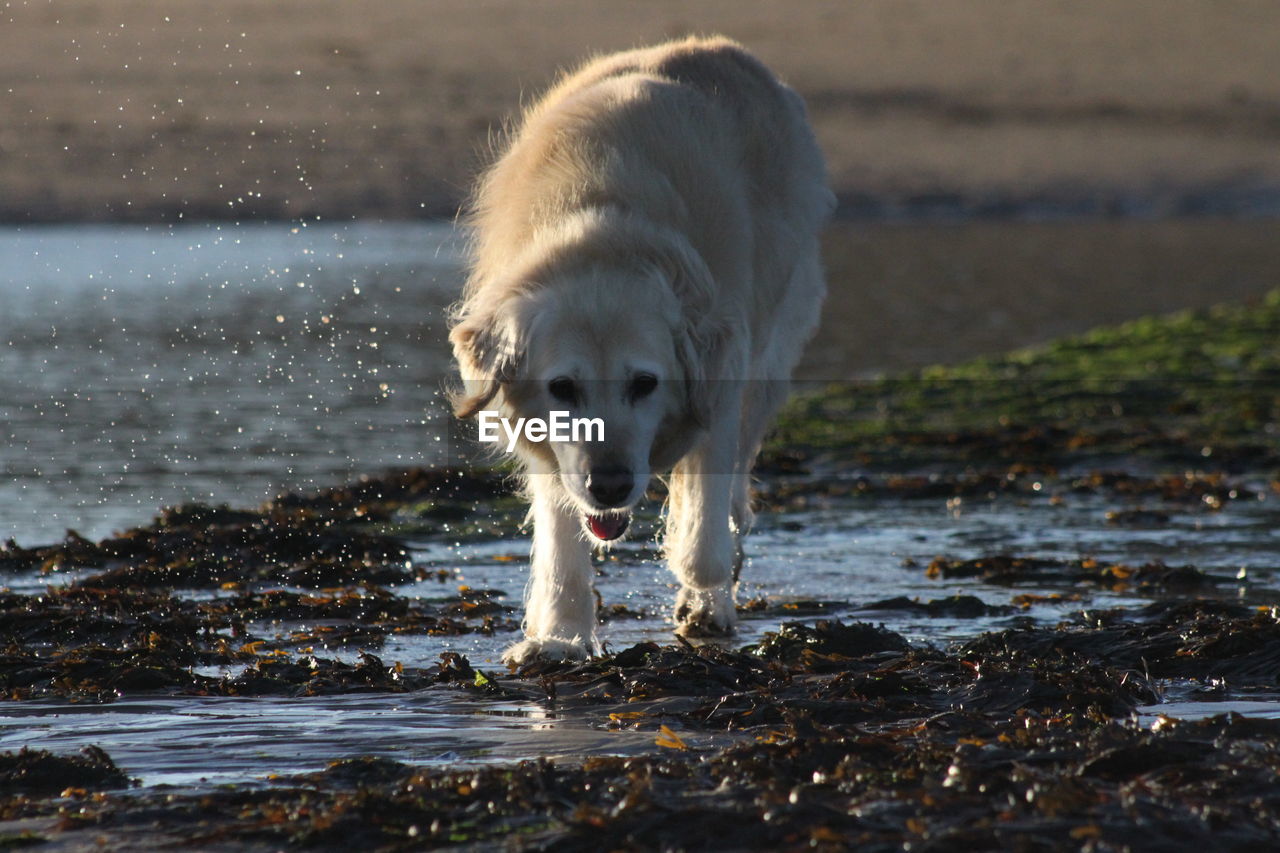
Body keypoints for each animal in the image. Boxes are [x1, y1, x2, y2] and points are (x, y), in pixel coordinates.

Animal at [448, 36, 829, 666]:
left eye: (645, 383)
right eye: (563, 387)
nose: (610, 485)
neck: (600, 228)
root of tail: (722, 47)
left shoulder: (720, 385)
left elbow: (703, 534)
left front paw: (705, 598)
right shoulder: (550, 449)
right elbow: (561, 543)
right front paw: (560, 636)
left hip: (771, 350)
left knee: (731, 484)